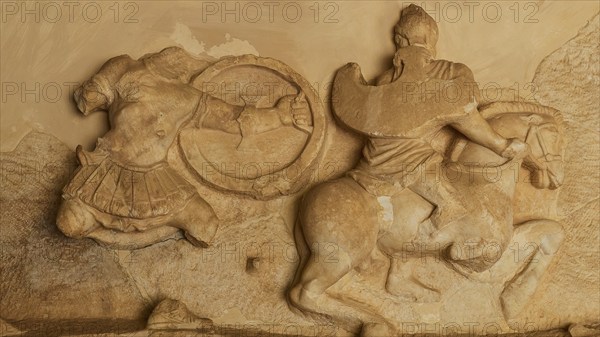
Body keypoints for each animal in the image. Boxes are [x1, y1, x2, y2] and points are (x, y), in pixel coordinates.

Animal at [288, 101, 564, 332]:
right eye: (552, 135)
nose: (557, 179)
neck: (485, 182)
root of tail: (307, 198)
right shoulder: (484, 258)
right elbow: (482, 252)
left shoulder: (492, 260)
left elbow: (550, 230)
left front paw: (512, 303)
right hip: (340, 257)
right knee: (304, 293)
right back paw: (376, 323)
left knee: (388, 284)